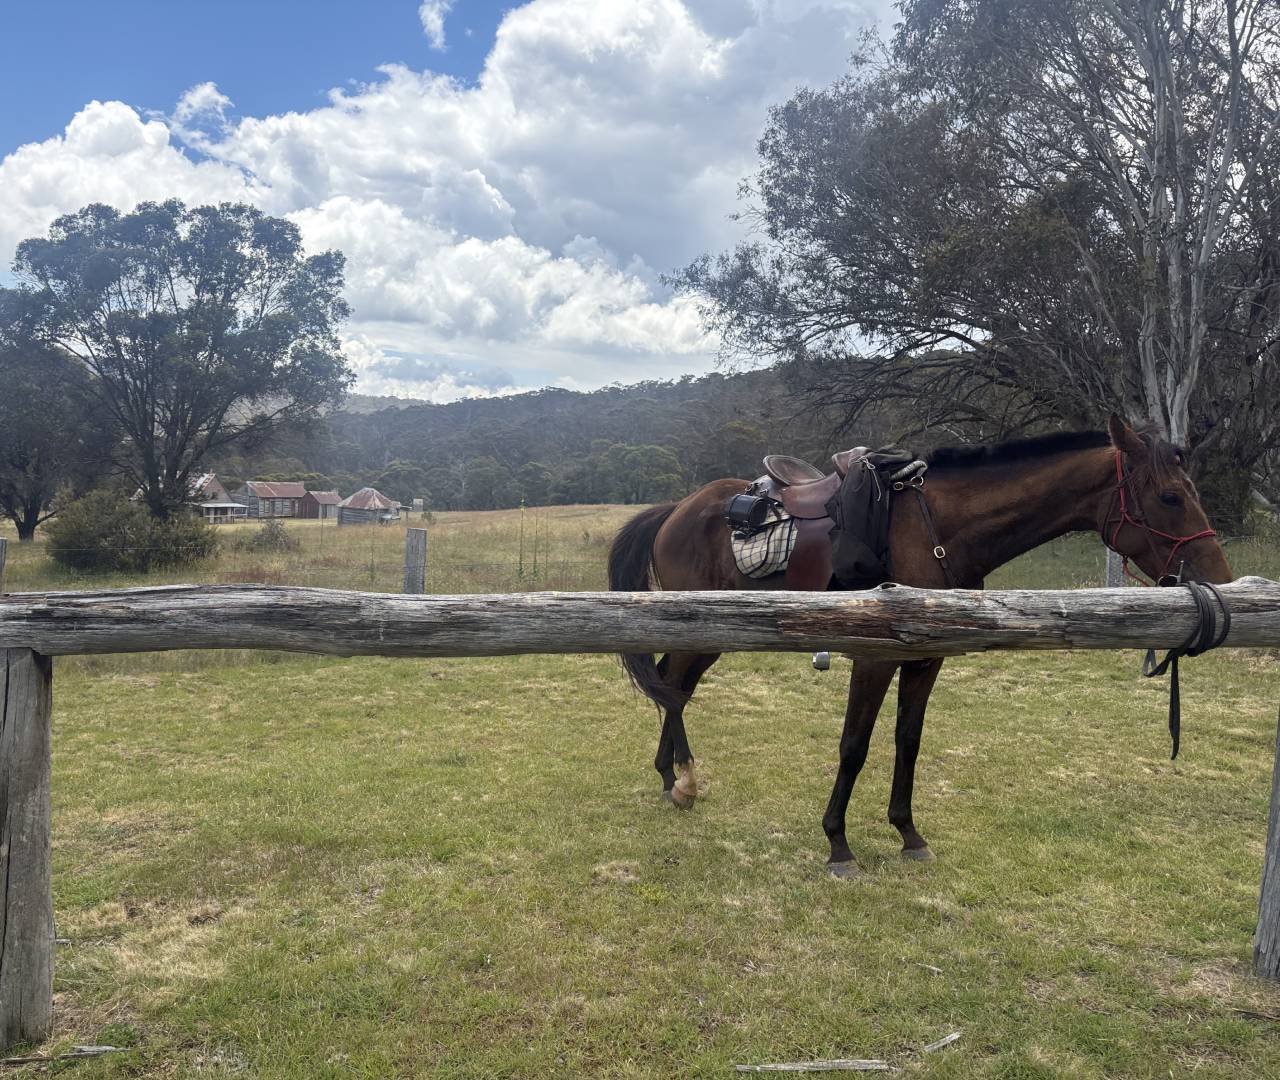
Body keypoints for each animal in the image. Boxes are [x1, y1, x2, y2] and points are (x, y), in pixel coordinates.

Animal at [606, 415, 1232, 877]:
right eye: (1171, 497)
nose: (1221, 580)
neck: (938, 527)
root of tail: (677, 509)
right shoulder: (875, 658)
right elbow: (854, 746)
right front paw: (838, 844)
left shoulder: (926, 659)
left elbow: (908, 741)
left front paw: (908, 833)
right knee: (673, 689)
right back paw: (682, 780)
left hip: (705, 633)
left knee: (673, 686)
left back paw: (671, 777)